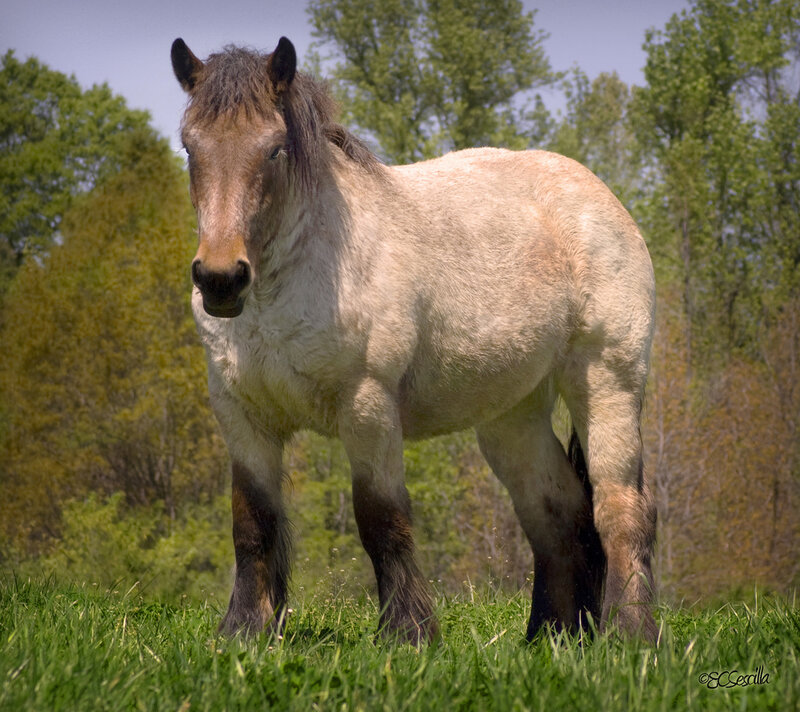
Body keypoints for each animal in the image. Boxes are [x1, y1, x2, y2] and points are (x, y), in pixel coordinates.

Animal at [170, 35, 658, 644]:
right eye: (190, 148)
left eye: (275, 150)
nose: (220, 279)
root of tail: (602, 198)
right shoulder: (242, 416)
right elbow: (252, 524)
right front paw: (244, 632)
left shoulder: (367, 406)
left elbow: (381, 519)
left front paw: (408, 633)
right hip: (512, 417)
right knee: (558, 514)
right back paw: (550, 637)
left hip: (608, 384)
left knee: (620, 510)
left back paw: (632, 635)